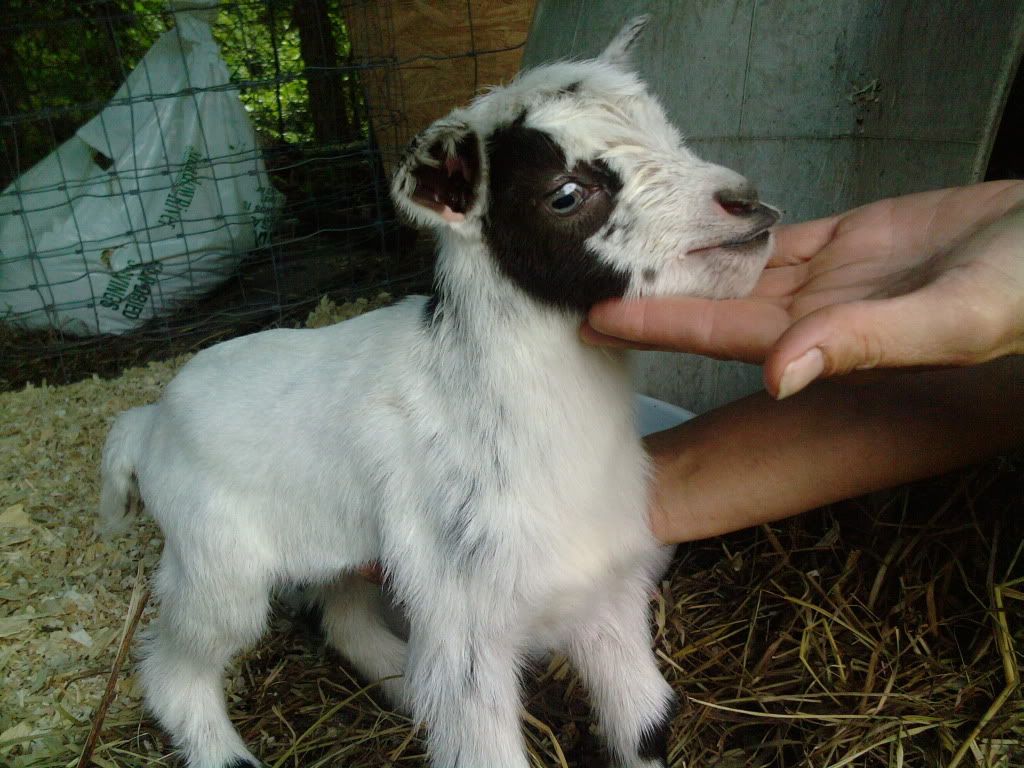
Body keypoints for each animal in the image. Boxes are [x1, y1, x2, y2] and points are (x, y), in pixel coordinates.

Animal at [99, 16, 779, 768]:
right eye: (564, 193)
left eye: (671, 135)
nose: (744, 202)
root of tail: (146, 419)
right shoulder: (465, 619)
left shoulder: (604, 588)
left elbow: (645, 723)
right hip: (216, 562)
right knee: (174, 665)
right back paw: (226, 751)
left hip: (339, 545)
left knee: (340, 613)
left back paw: (400, 683)